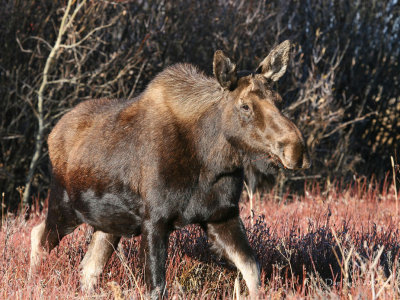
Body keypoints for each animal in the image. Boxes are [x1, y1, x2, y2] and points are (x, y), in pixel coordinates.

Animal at [31, 40, 310, 298]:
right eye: (245, 106)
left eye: (279, 100)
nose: (296, 149)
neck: (211, 162)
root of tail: (53, 134)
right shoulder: (155, 219)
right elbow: (156, 287)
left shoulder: (222, 215)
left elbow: (252, 270)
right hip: (64, 206)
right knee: (38, 237)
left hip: (108, 222)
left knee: (89, 266)